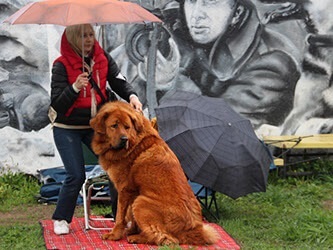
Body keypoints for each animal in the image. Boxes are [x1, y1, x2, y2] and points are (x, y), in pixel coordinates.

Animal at [89, 100, 218, 245]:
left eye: (127, 127)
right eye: (114, 126)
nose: (124, 139)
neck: (135, 139)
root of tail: (195, 230)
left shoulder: (125, 190)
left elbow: (120, 216)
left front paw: (115, 235)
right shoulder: (133, 191)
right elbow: (131, 217)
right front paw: (131, 231)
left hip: (141, 202)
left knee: (168, 239)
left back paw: (138, 238)